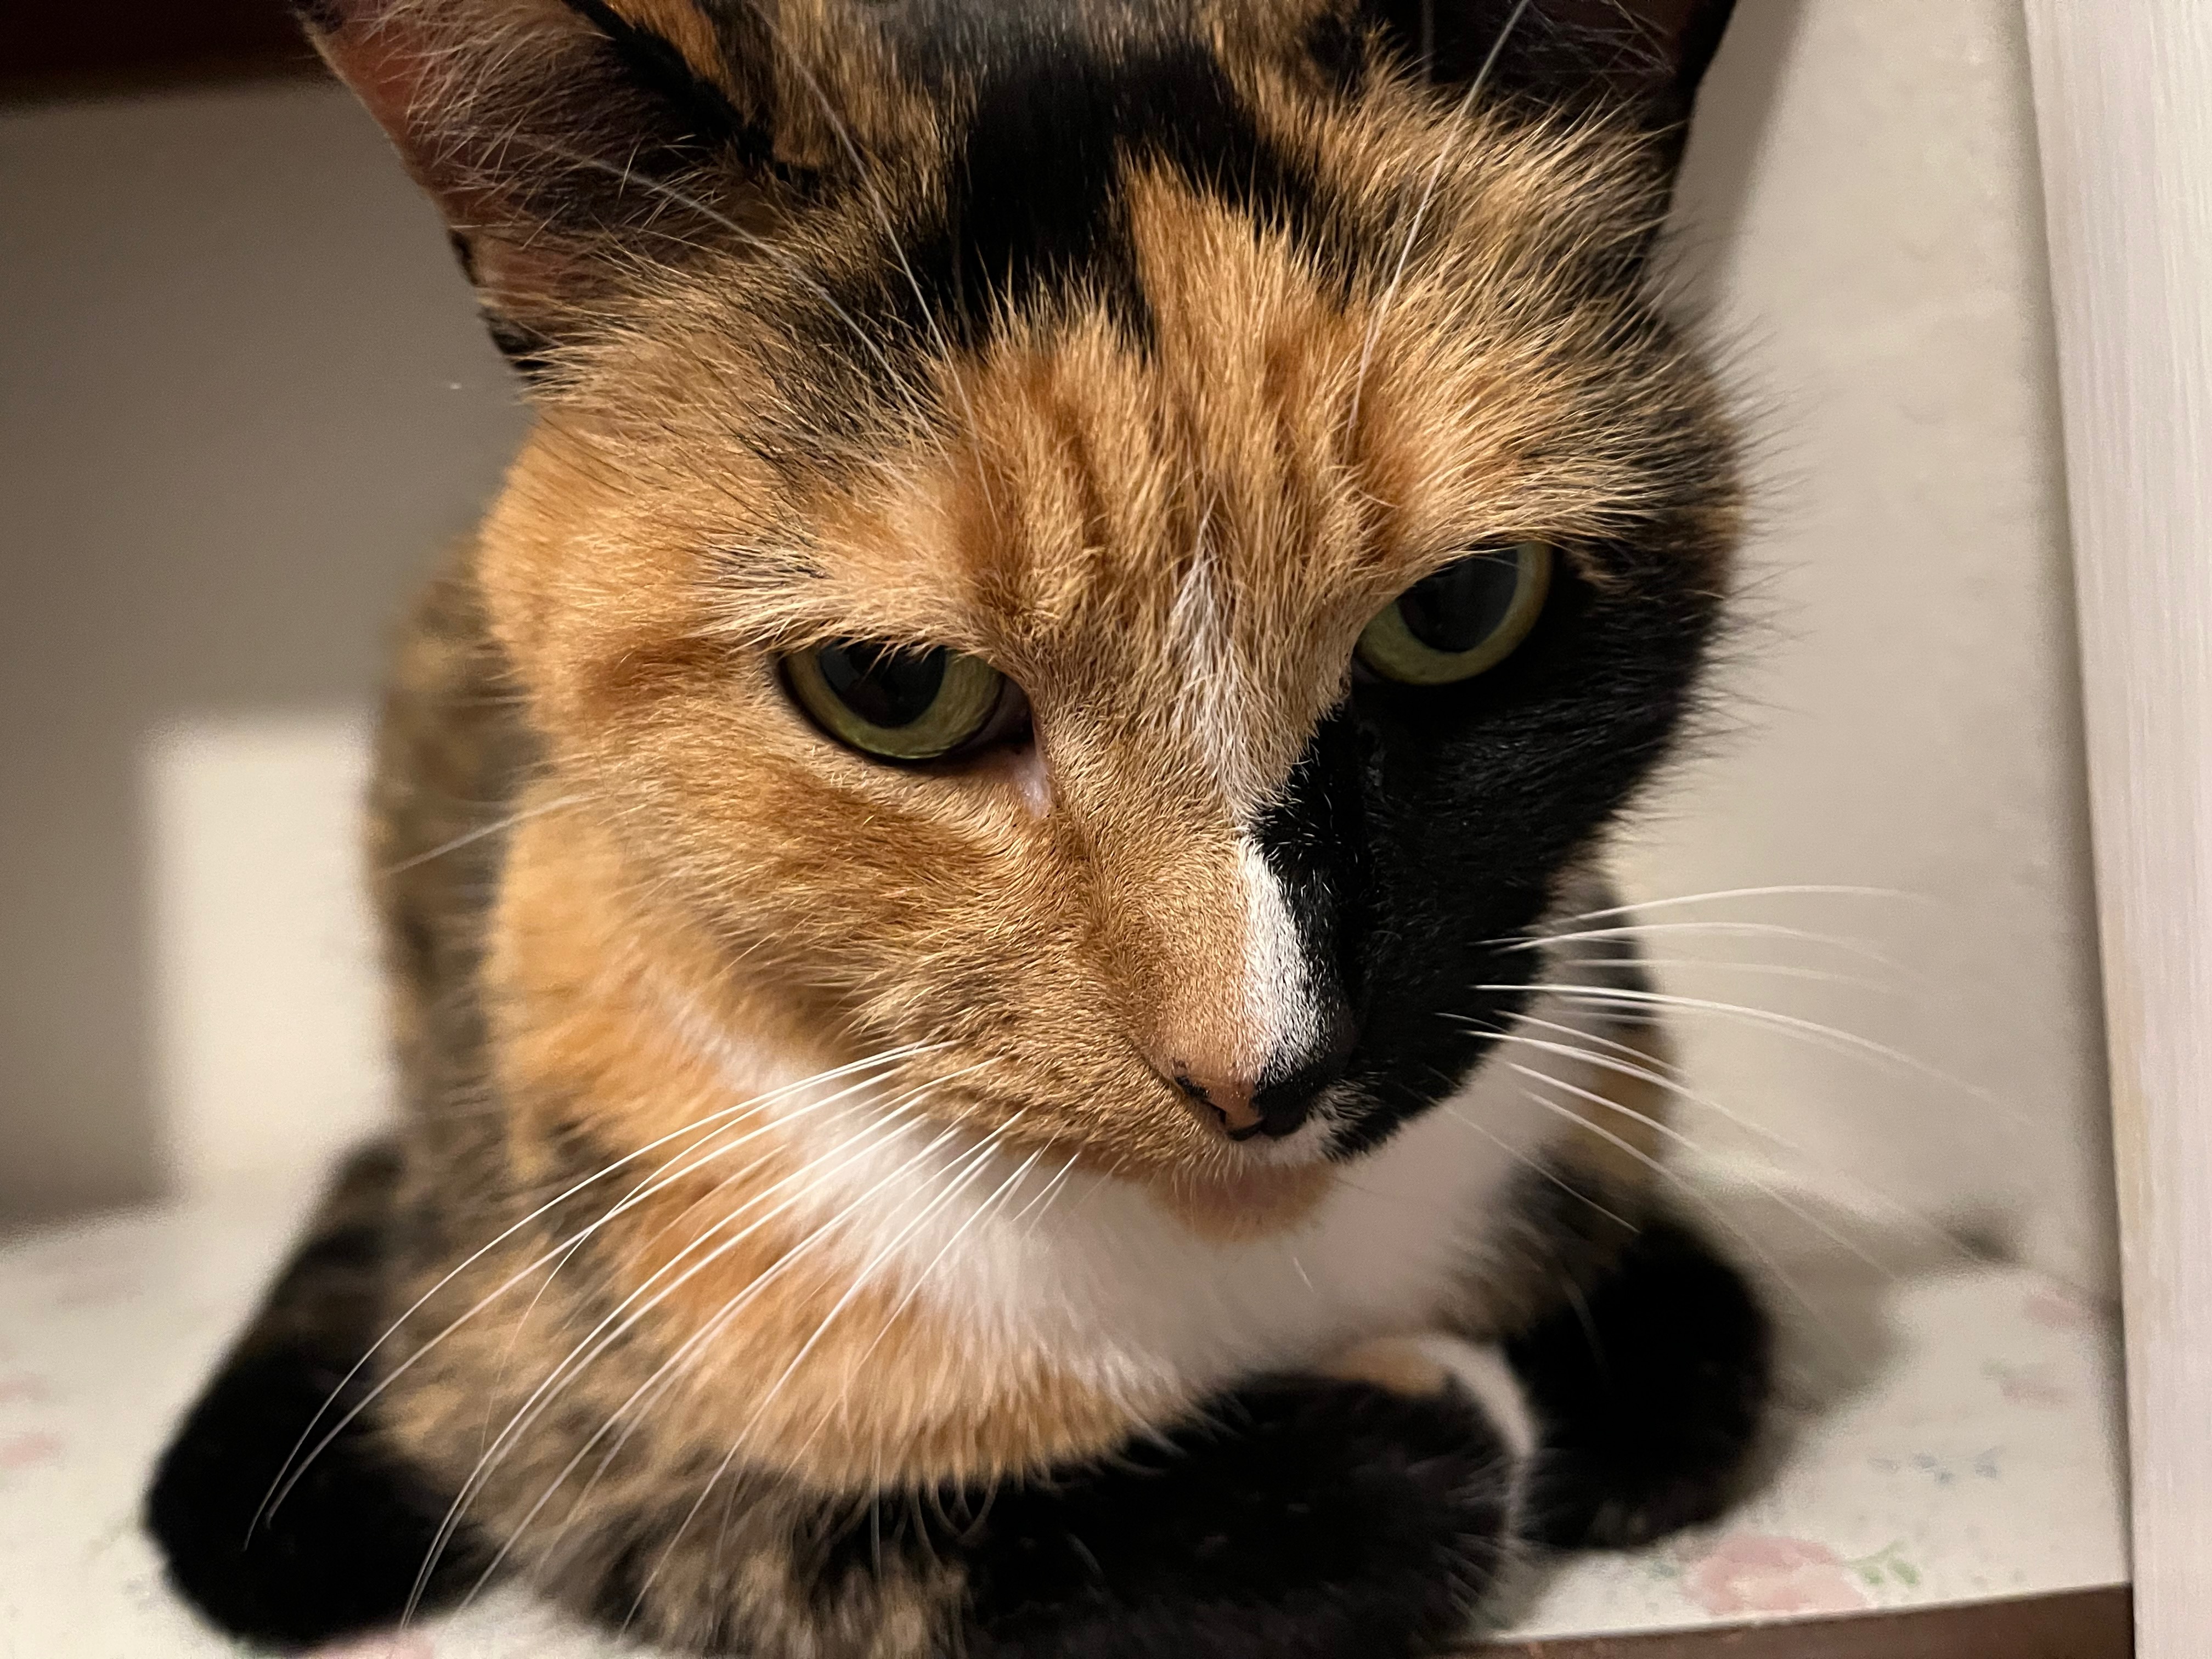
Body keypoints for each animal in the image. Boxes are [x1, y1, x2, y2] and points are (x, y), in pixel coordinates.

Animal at [147, 0, 1769, 1654]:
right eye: (893, 687)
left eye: (1461, 608)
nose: (1263, 1070)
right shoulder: (570, 1414)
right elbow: (877, 1543)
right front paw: (1443, 1424)